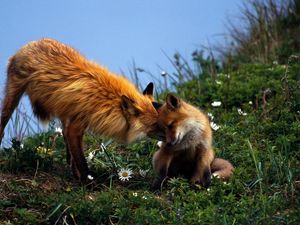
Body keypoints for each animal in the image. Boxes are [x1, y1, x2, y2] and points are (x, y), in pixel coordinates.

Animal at [0, 38, 164, 183]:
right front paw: (88, 183)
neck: (107, 101)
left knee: (66, 141)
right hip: (12, 98)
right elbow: (81, 161)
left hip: (63, 112)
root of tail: (31, 43)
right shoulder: (76, 128)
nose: (171, 136)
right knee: (2, 127)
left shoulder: (76, 125)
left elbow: (75, 155)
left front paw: (78, 177)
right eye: (155, 125)